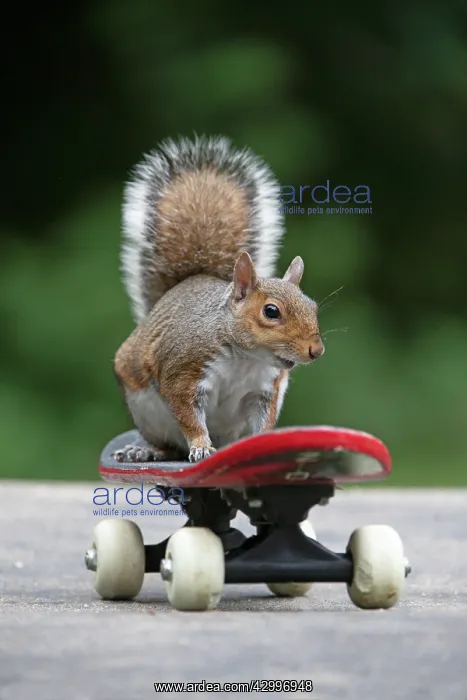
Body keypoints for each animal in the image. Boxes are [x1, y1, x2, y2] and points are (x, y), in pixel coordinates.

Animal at [113, 135, 325, 464]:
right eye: (271, 311)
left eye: (313, 307)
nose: (316, 350)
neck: (246, 359)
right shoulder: (182, 371)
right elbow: (188, 416)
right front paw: (200, 446)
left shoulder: (265, 390)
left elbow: (264, 420)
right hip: (145, 409)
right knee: (168, 444)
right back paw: (145, 450)